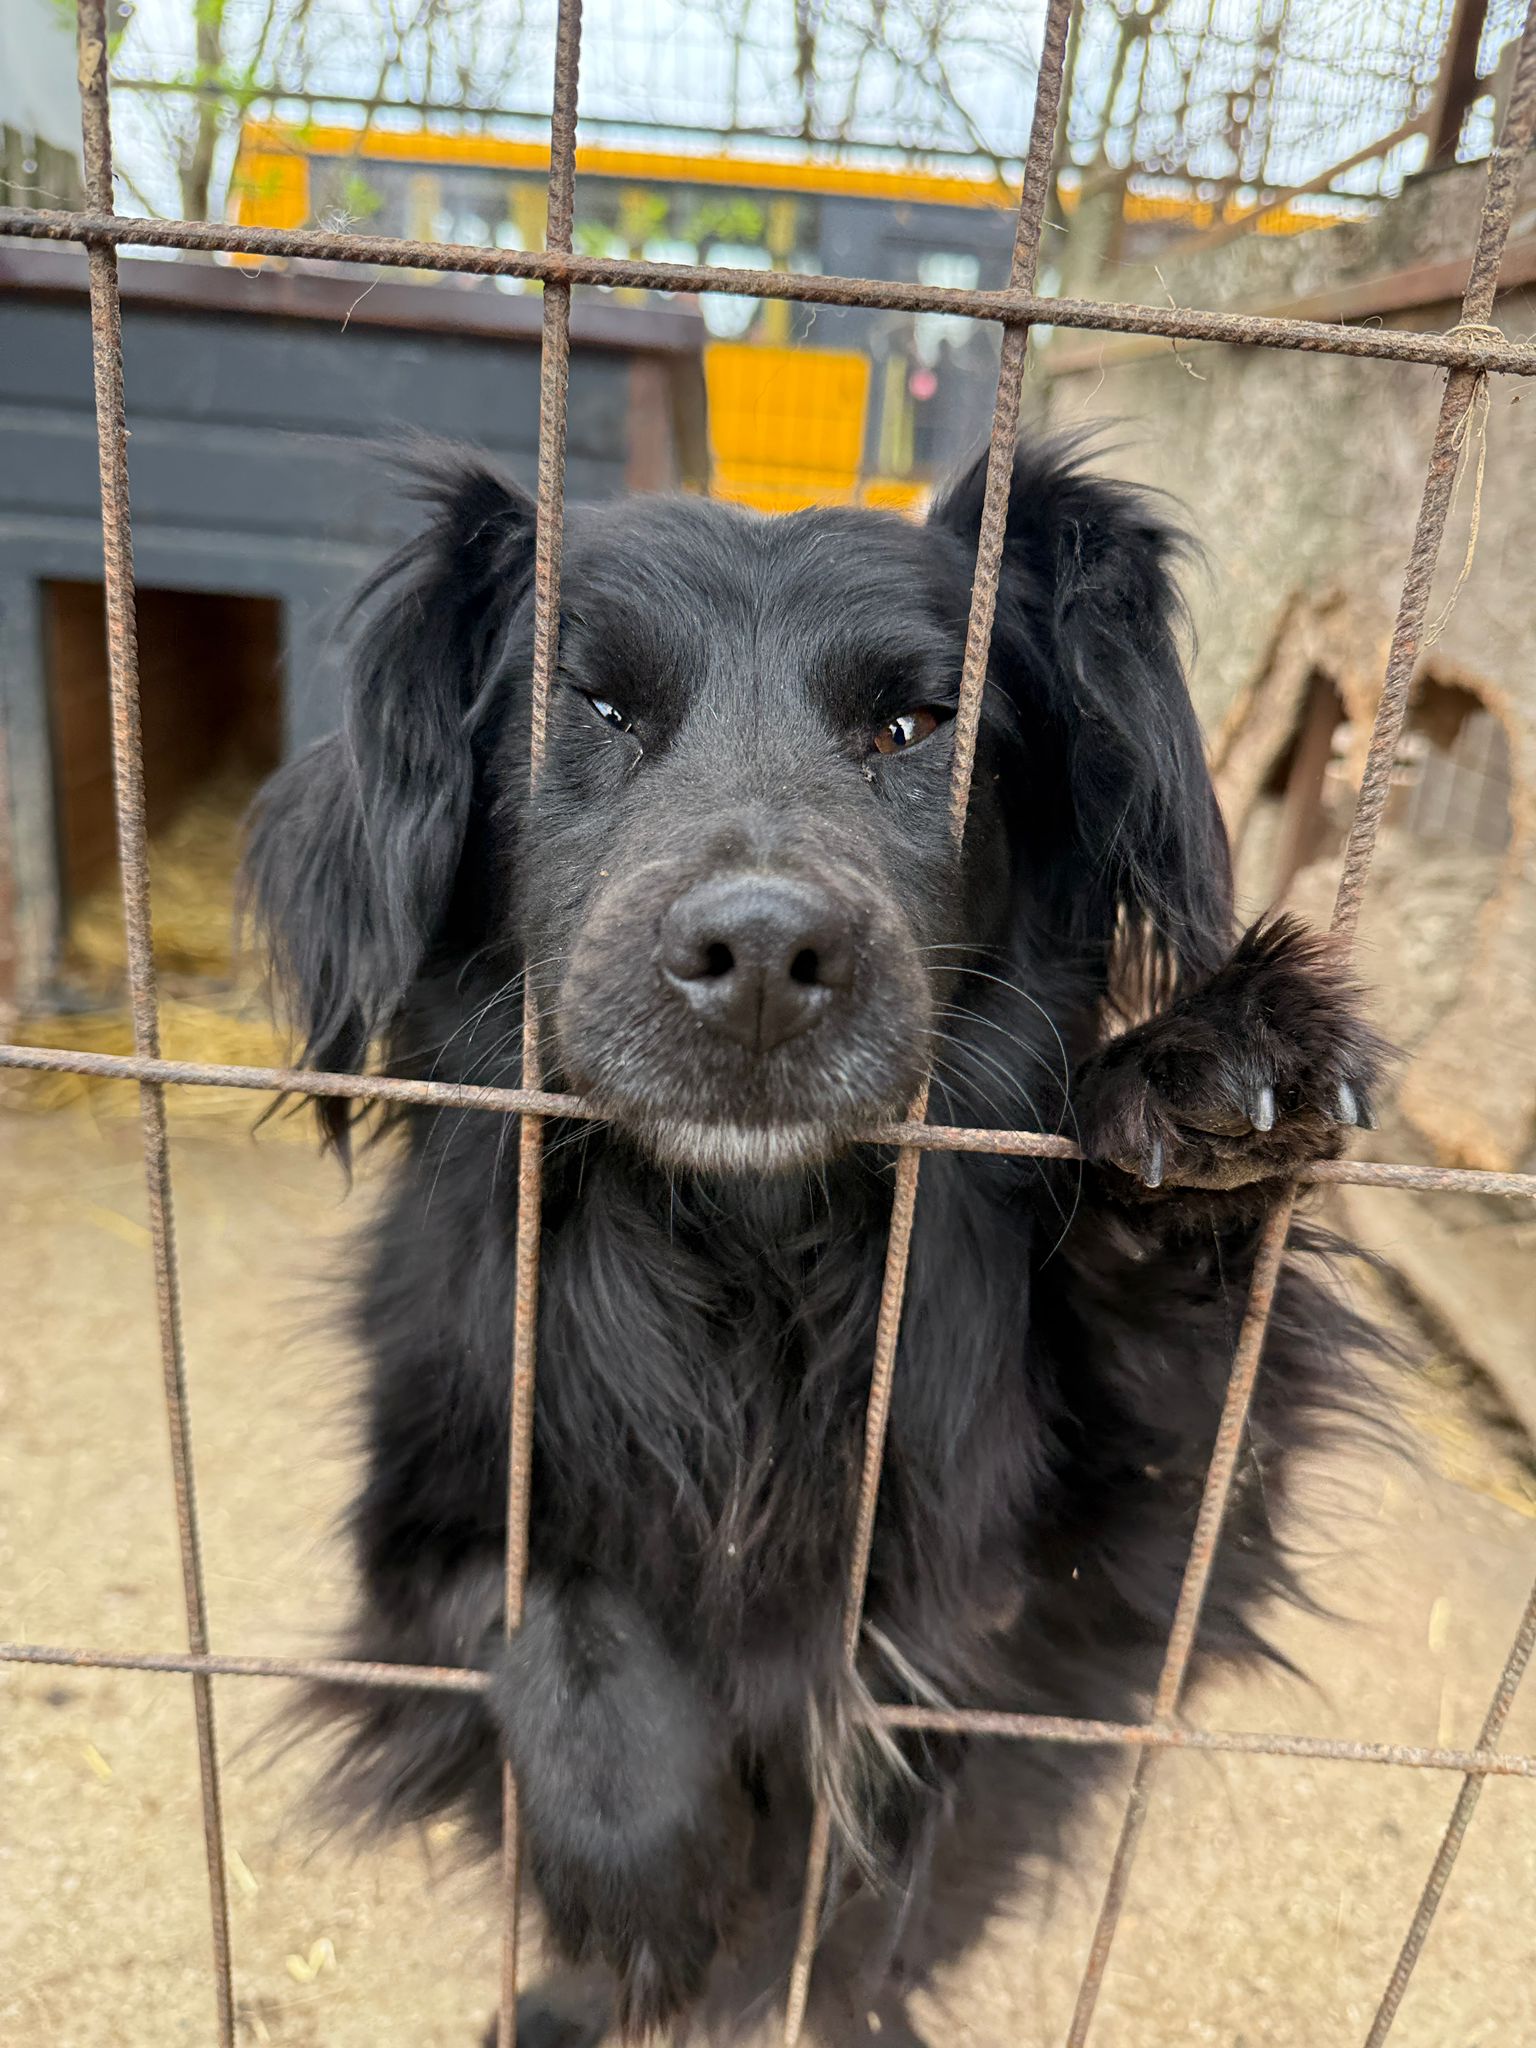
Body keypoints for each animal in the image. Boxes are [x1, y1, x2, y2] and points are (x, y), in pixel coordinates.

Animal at [246, 432, 1385, 2046]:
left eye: (914, 726)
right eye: (593, 708)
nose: (764, 961)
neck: (747, 1249)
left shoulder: (1087, 1602)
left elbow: (1183, 1427)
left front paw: (1211, 1080)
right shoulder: (416, 1515)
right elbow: (542, 1595)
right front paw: (646, 1871)